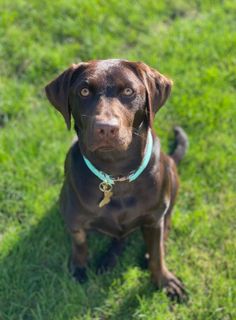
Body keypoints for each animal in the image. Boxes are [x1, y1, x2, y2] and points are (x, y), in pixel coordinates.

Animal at [44, 58, 188, 302]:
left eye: (129, 91)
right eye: (84, 91)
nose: (106, 128)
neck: (116, 174)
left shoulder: (153, 218)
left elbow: (158, 254)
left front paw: (164, 280)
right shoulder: (73, 218)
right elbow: (79, 243)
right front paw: (79, 268)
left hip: (170, 179)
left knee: (165, 224)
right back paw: (108, 260)